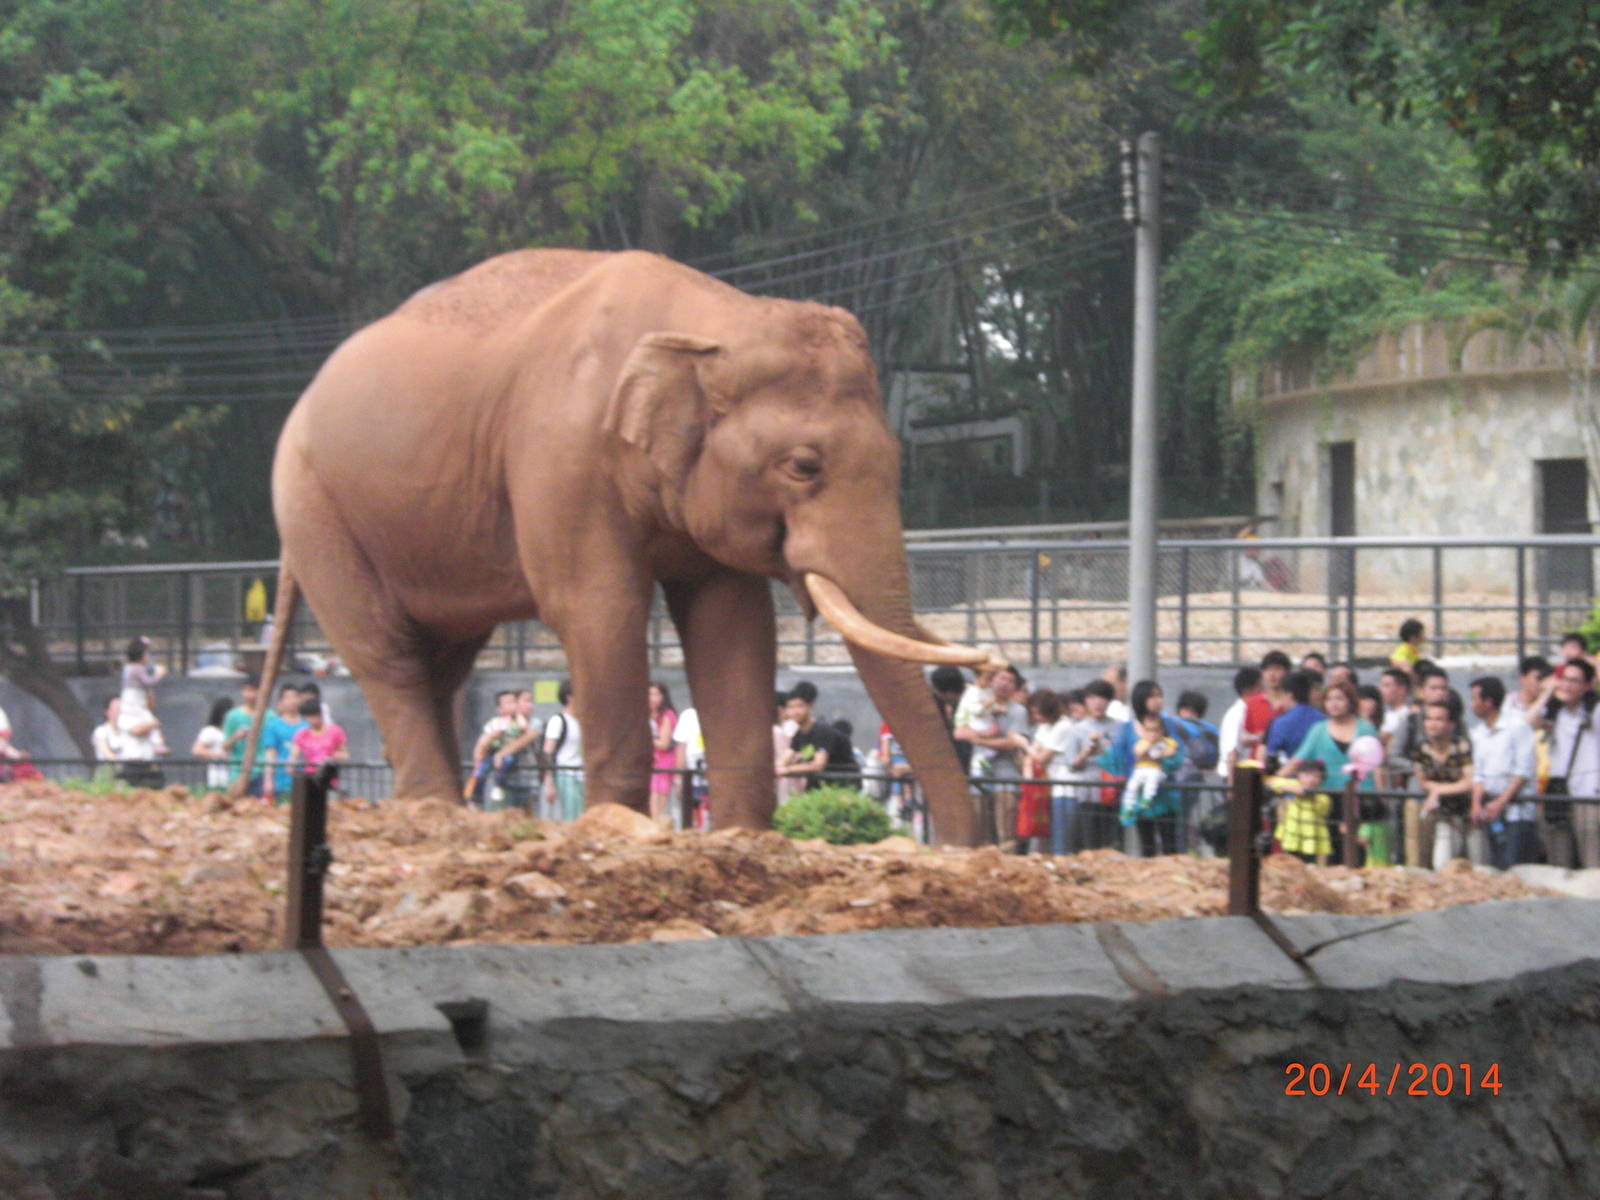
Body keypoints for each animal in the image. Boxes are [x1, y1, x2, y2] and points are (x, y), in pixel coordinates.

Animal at [236, 249, 990, 842]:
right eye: (804, 466)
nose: (956, 846)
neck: (713, 323)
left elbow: (732, 622)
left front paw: (744, 837)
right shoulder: (560, 456)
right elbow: (599, 609)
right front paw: (620, 825)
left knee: (440, 663)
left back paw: (432, 810)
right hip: (314, 509)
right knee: (387, 655)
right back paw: (435, 813)